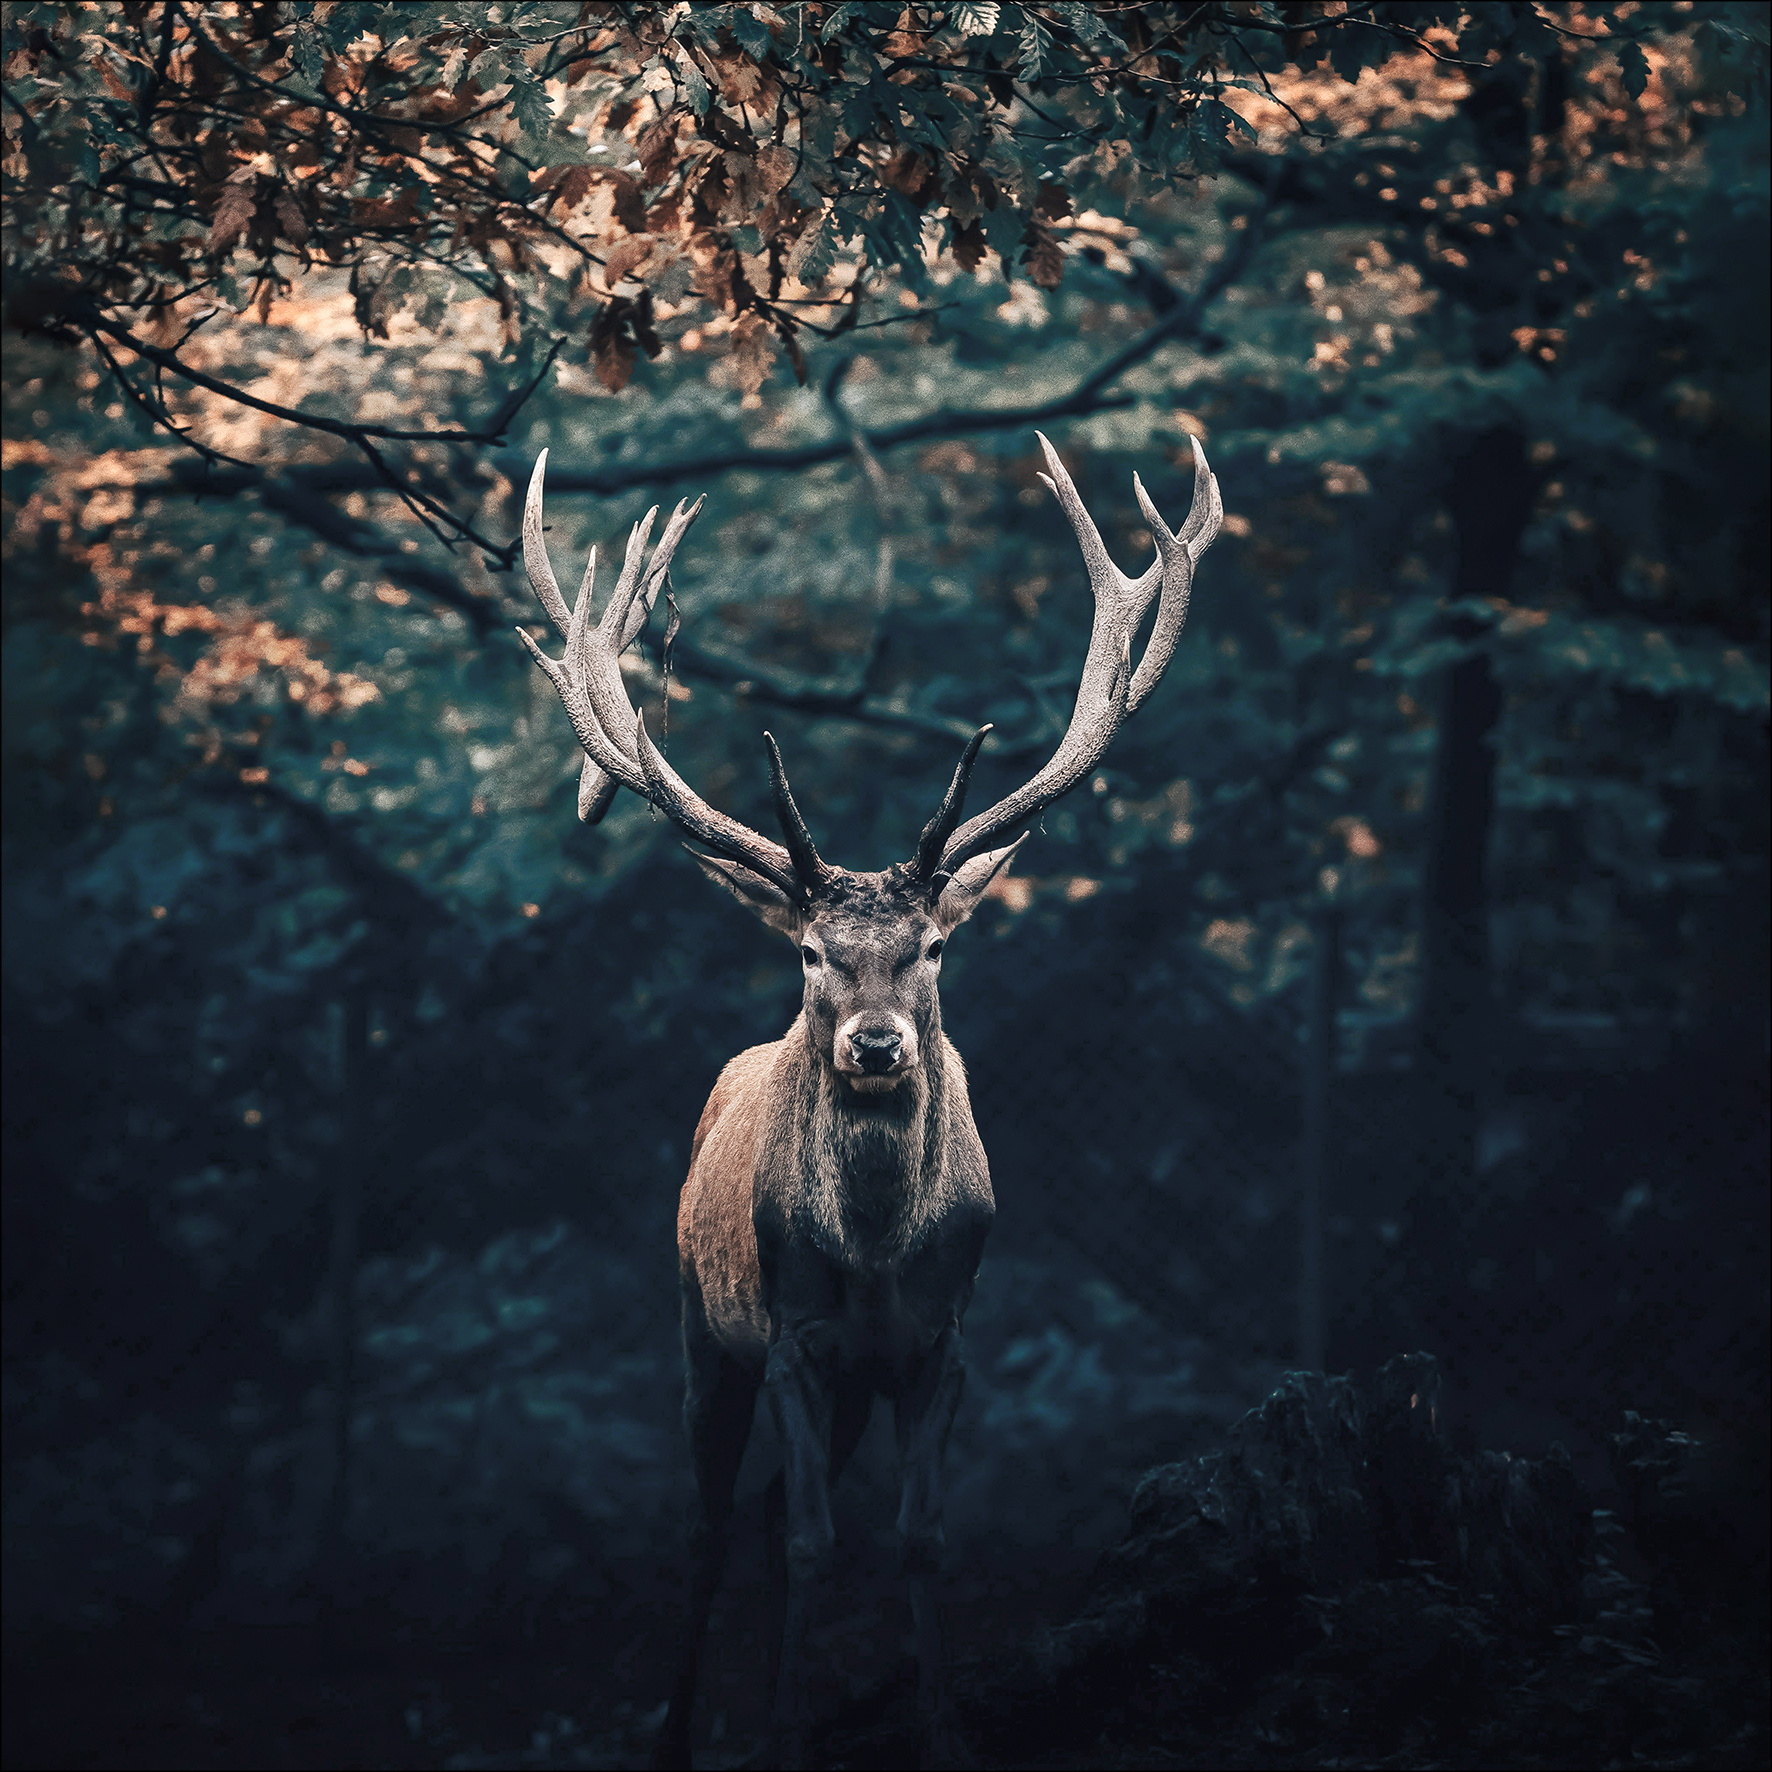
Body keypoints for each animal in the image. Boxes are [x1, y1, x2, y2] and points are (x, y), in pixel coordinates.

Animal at [515, 431, 1222, 1769]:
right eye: (808, 951)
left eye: (932, 946)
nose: (877, 1043)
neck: (883, 1252)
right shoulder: (795, 1336)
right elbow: (804, 1541)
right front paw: (789, 1726)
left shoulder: (940, 1341)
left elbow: (915, 1536)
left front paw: (936, 1725)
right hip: (699, 1324)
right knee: (710, 1526)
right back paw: (684, 1730)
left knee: (778, 1507)